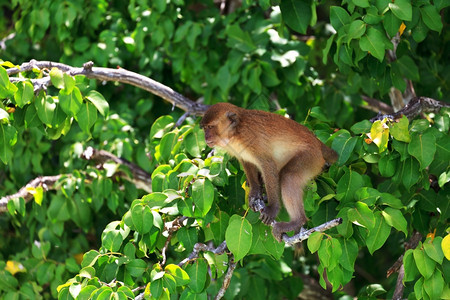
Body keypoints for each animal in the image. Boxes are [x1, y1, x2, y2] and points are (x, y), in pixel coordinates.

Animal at [200, 102, 338, 241]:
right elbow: (247, 161)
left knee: (288, 175)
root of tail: (317, 143)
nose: (206, 137)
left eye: (210, 127)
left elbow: (268, 164)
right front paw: (255, 191)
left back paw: (298, 221)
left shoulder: (250, 137)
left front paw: (272, 208)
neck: (235, 133)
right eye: (205, 128)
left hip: (311, 158)